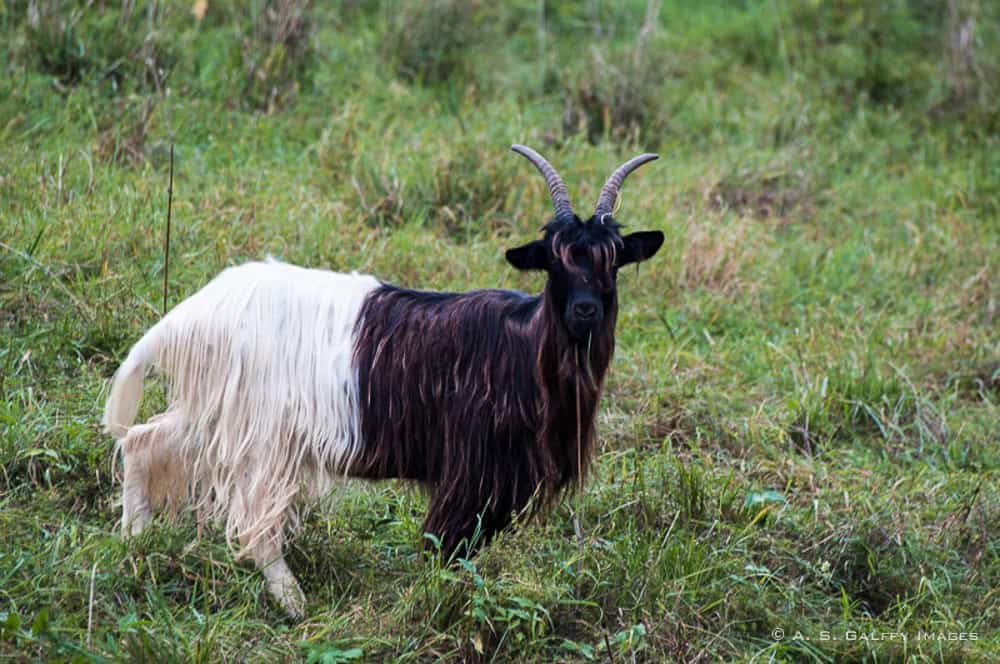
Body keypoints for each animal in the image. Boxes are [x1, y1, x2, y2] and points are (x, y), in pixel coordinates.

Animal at [103, 145, 664, 616]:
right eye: (552, 261)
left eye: (614, 260)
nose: (585, 310)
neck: (526, 349)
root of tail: (190, 313)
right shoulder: (470, 471)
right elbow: (446, 547)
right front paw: (442, 604)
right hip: (260, 431)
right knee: (253, 520)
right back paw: (294, 602)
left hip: (218, 412)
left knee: (144, 440)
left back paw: (134, 544)